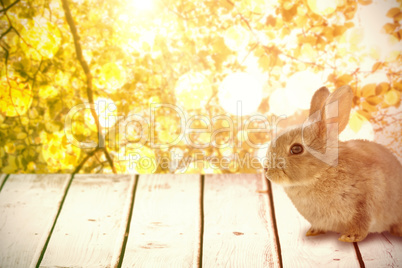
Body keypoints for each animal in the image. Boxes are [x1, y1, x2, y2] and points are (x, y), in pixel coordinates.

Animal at [264, 86, 402, 243]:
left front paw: (349, 237)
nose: (267, 169)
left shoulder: (366, 203)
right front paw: (313, 232)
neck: (324, 170)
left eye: (296, 149)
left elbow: (362, 222)